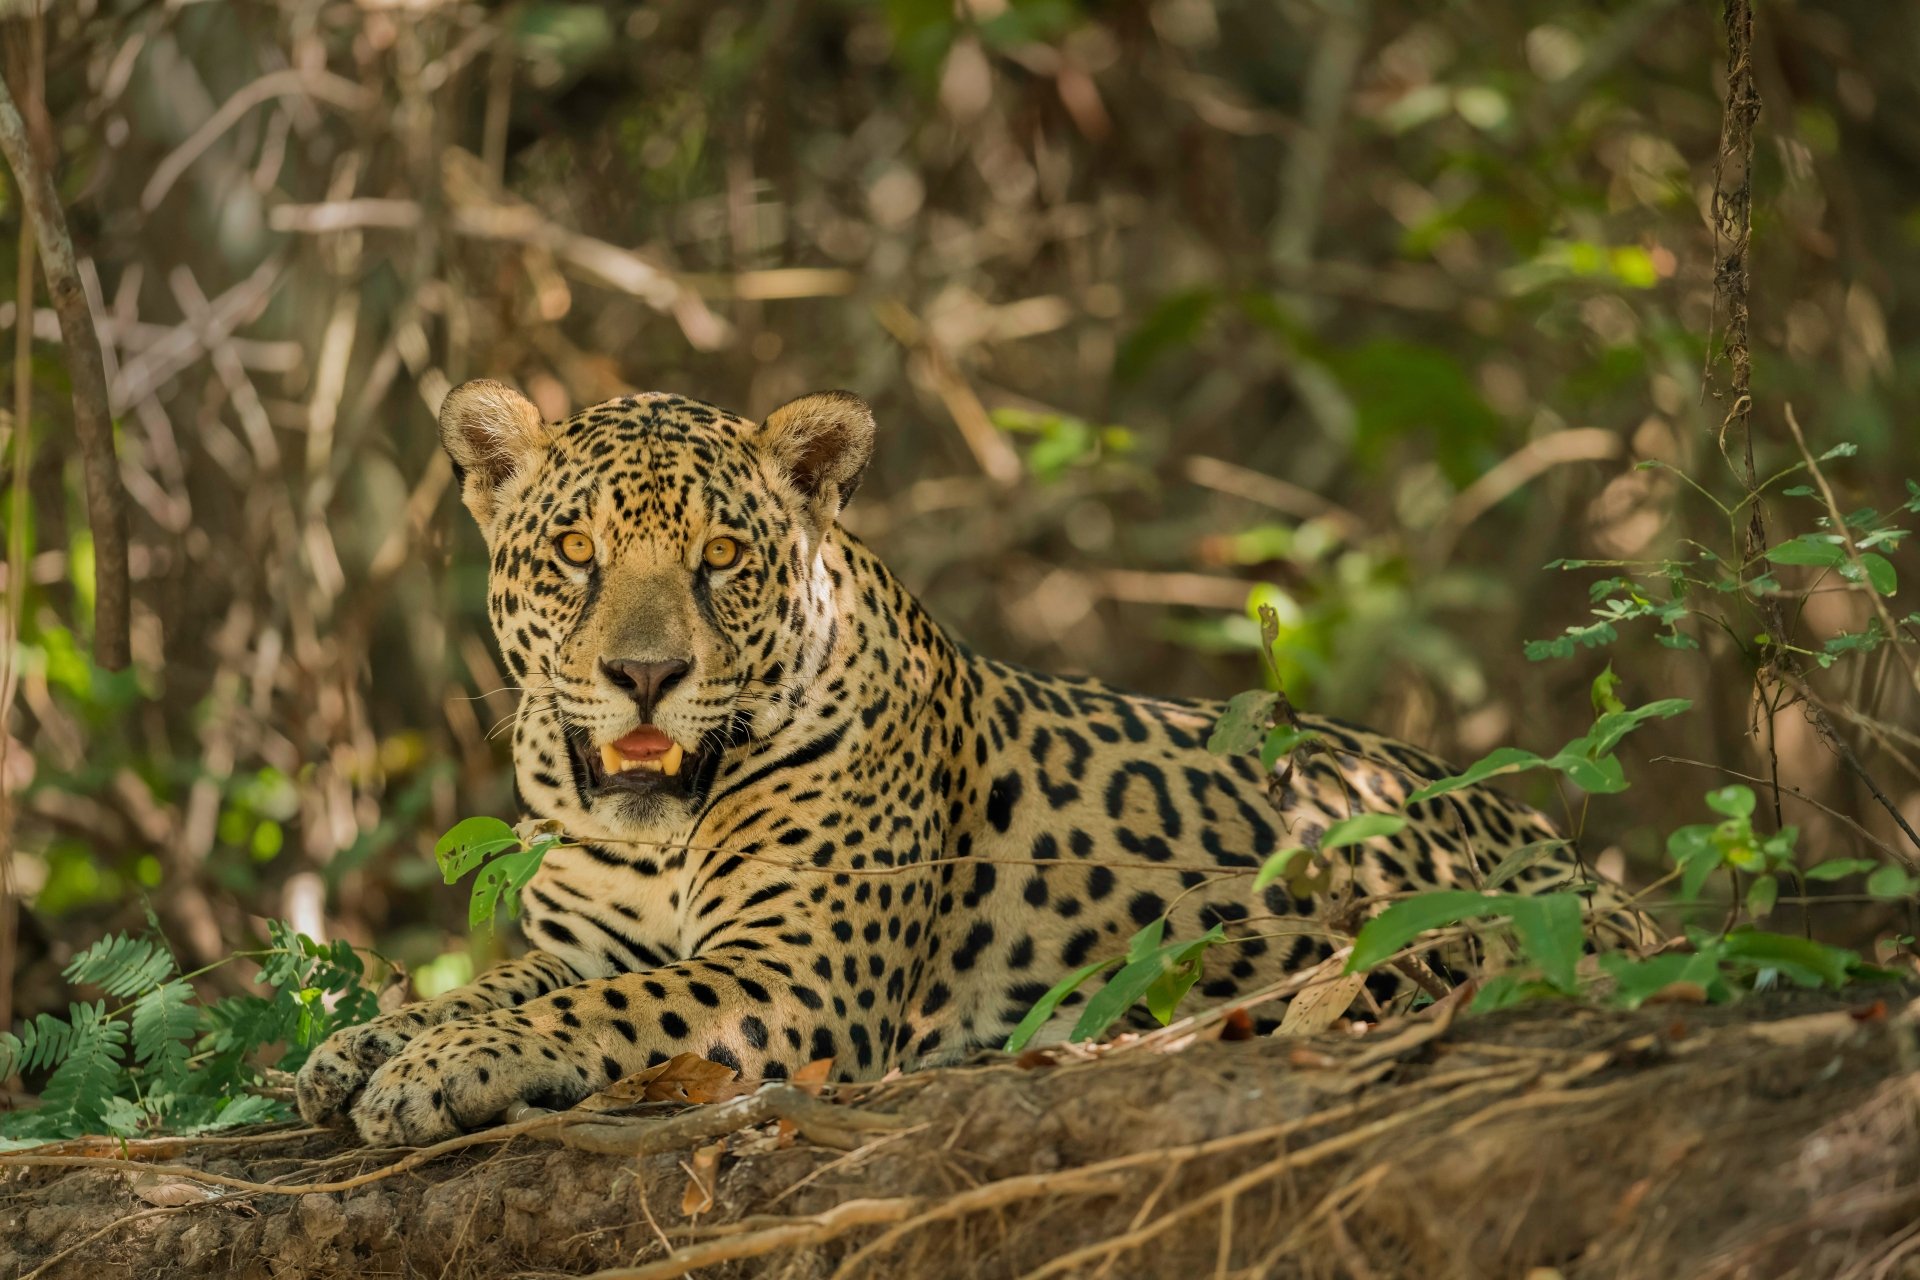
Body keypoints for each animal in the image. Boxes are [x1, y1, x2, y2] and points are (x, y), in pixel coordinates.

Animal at [296, 380, 1631, 1145]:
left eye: (722, 556)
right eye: (576, 549)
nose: (644, 674)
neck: (653, 833)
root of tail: (1569, 857)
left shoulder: (793, 974)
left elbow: (597, 1008)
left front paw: (431, 1073)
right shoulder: (595, 937)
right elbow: (502, 983)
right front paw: (358, 1048)